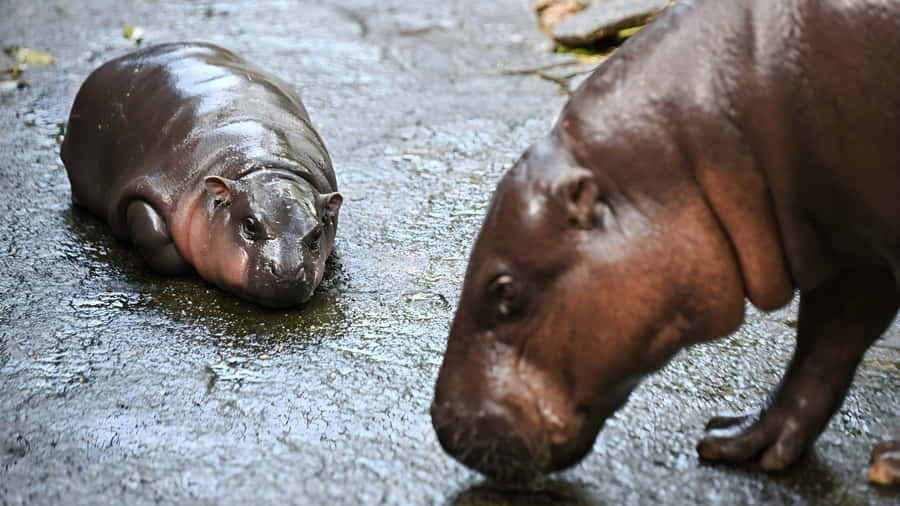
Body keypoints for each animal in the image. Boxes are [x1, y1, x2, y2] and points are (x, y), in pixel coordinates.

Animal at [61, 42, 342, 308]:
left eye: (317, 233)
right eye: (250, 225)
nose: (288, 272)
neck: (268, 166)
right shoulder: (155, 187)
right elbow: (152, 234)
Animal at [431, 0, 899, 485]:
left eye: (503, 290)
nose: (444, 429)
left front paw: (889, 463)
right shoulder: (850, 247)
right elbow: (827, 342)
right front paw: (738, 438)